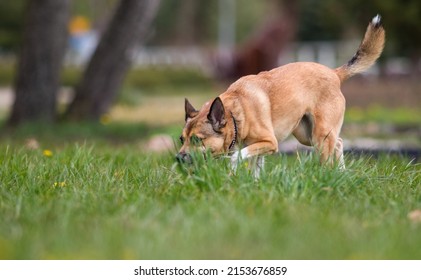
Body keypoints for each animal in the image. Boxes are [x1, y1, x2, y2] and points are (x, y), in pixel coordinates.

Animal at [176, 15, 384, 175]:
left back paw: (327, 177)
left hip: (320, 135)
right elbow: (255, 168)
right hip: (306, 135)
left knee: (329, 153)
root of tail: (334, 73)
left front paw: (233, 170)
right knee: (339, 143)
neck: (236, 113)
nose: (178, 158)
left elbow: (237, 155)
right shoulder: (259, 149)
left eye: (197, 140)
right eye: (181, 139)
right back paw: (341, 173)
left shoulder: (269, 142)